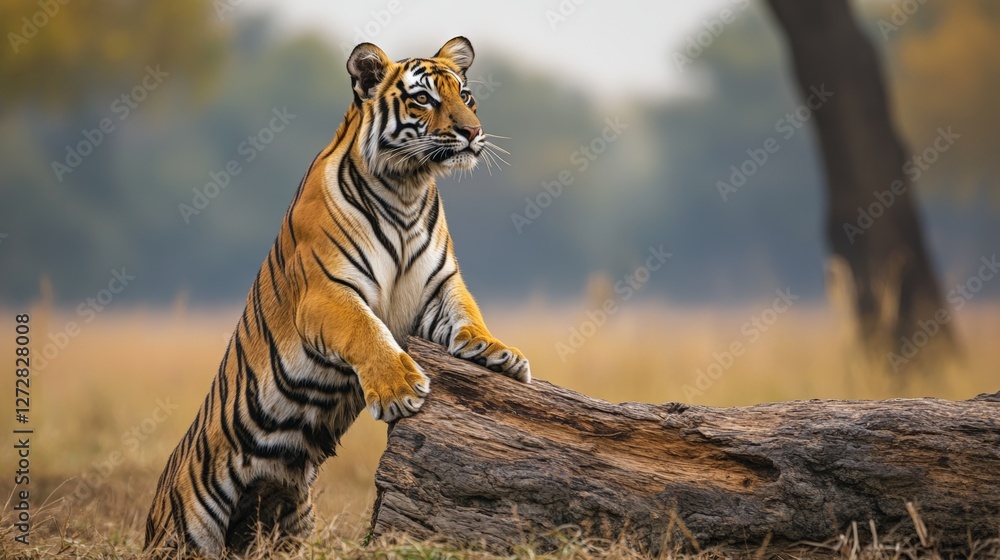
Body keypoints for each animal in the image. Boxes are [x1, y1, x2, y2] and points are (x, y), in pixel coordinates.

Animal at [143, 36, 530, 557]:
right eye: (423, 99)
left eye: (465, 96)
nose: (472, 132)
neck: (407, 187)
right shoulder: (326, 291)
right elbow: (364, 329)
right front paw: (399, 388)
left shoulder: (439, 286)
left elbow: (468, 314)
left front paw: (499, 354)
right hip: (188, 528)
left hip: (290, 520)